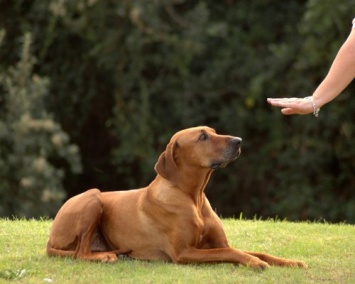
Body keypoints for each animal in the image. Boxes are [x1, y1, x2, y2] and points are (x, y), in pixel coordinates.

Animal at [46, 126, 308, 268]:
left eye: (213, 132)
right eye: (203, 137)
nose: (238, 141)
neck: (193, 197)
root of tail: (50, 239)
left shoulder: (219, 243)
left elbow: (255, 251)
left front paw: (291, 262)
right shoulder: (184, 252)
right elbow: (232, 253)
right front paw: (255, 263)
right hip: (93, 196)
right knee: (80, 253)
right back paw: (105, 257)